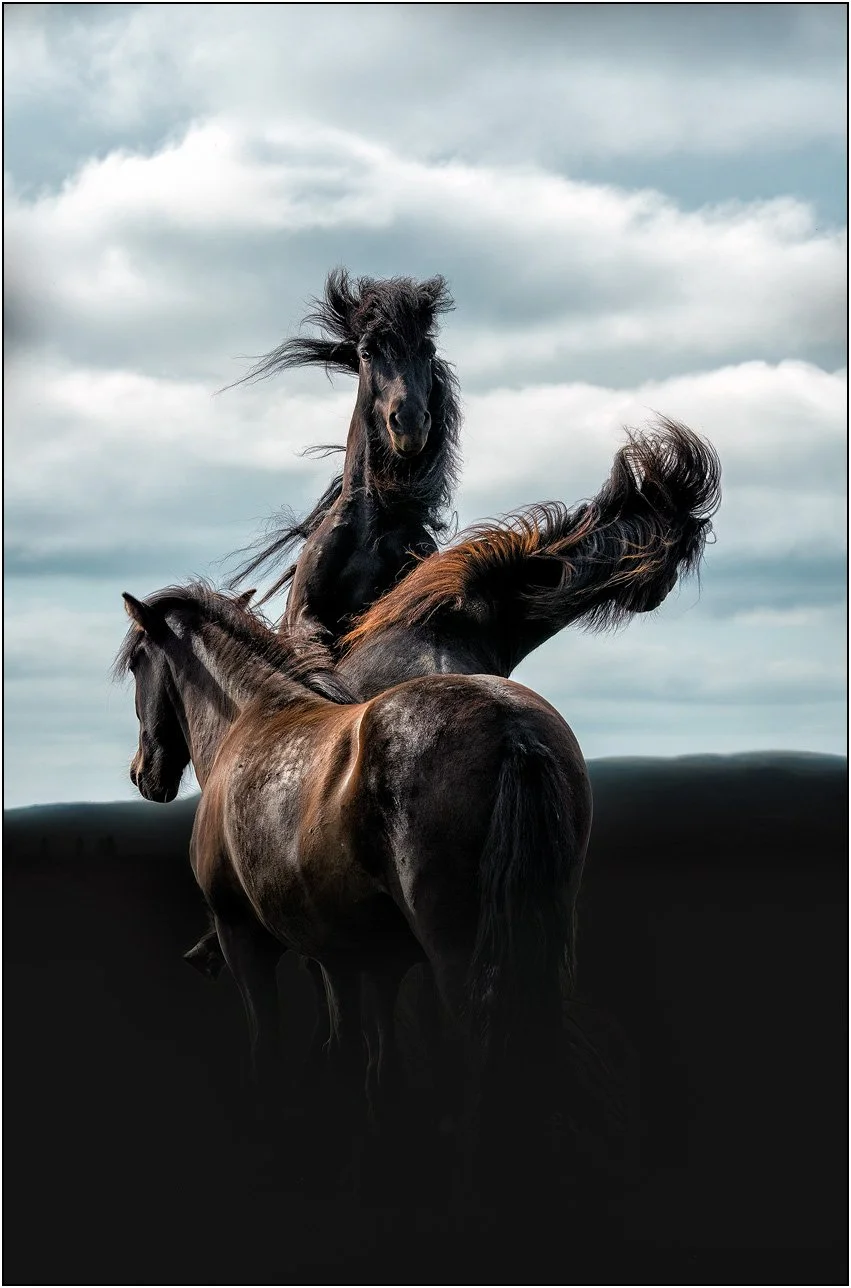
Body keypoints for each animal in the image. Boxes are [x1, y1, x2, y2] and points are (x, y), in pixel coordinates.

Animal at [115, 582, 592, 1180]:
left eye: (137, 662)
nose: (143, 773)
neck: (250, 720)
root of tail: (514, 729)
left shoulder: (245, 939)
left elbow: (272, 1055)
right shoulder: (363, 960)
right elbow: (374, 1072)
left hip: (461, 955)